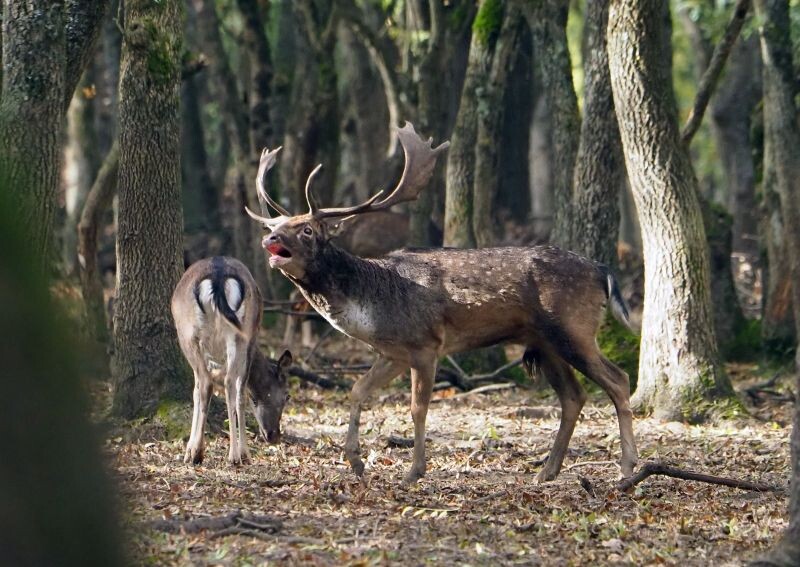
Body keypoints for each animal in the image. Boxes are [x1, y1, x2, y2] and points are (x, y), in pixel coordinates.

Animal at [170, 258, 292, 466]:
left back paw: (201, 453)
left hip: (190, 334)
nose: (273, 435)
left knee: (209, 384)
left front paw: (190, 449)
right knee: (228, 385)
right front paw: (244, 453)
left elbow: (198, 391)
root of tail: (218, 279)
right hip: (238, 334)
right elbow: (241, 393)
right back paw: (235, 455)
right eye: (286, 396)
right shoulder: (252, 337)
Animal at [244, 123, 636, 484]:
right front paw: (355, 462)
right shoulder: (393, 352)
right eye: (276, 224)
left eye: (307, 230)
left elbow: (418, 408)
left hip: (573, 327)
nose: (270, 238)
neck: (372, 304)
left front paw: (414, 471)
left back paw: (627, 468)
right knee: (573, 396)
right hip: (543, 341)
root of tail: (602, 270)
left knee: (619, 379)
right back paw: (547, 472)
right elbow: (357, 391)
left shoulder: (425, 344)